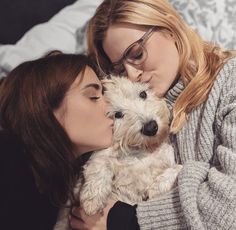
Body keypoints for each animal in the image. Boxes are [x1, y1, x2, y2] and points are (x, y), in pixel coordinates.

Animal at [54, 76, 183, 229]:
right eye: (118, 114)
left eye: (143, 94)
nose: (151, 127)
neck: (145, 148)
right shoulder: (103, 154)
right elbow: (99, 162)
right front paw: (93, 199)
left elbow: (180, 167)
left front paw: (158, 186)